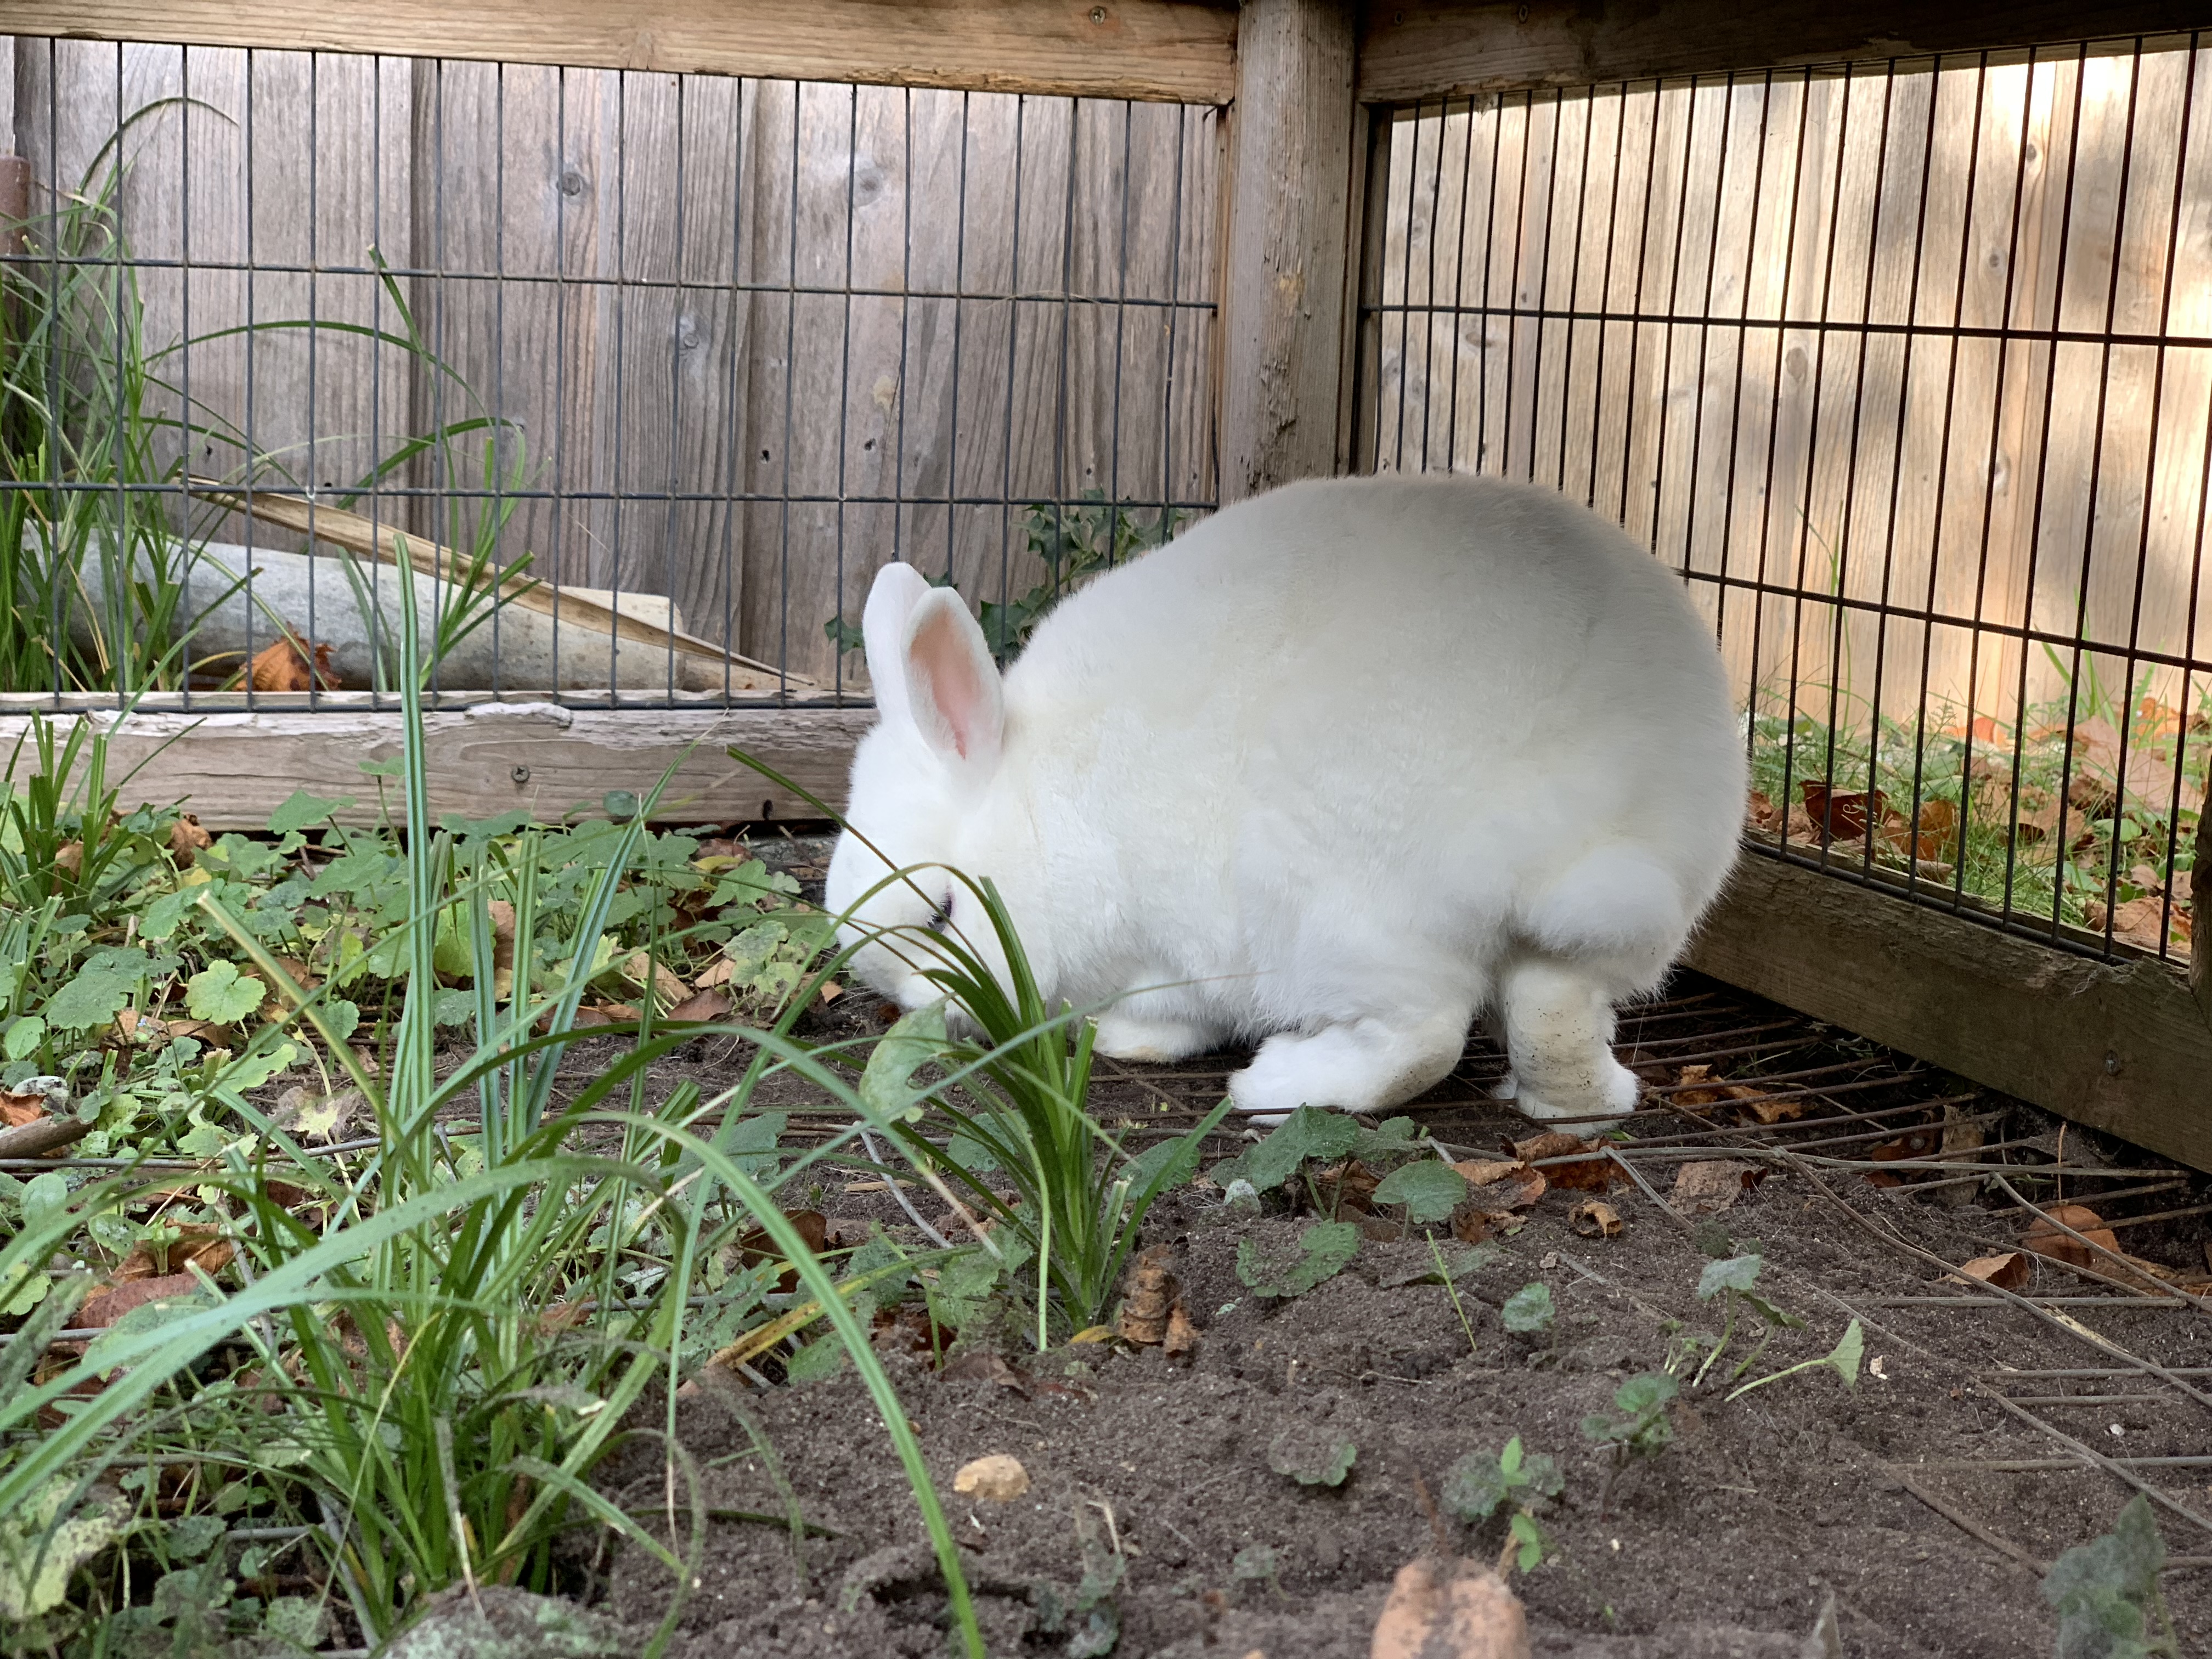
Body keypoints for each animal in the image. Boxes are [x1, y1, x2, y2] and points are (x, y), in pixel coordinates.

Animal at [824, 473, 1746, 1123]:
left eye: (943, 913)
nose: (926, 1019)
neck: (1047, 803)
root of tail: (1592, 823)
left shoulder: (1173, 940)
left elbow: (1176, 1008)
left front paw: (1128, 1040)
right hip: (1585, 944)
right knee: (1553, 1012)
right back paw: (1573, 1104)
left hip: (1336, 908)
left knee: (1423, 1037)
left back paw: (1276, 1086)